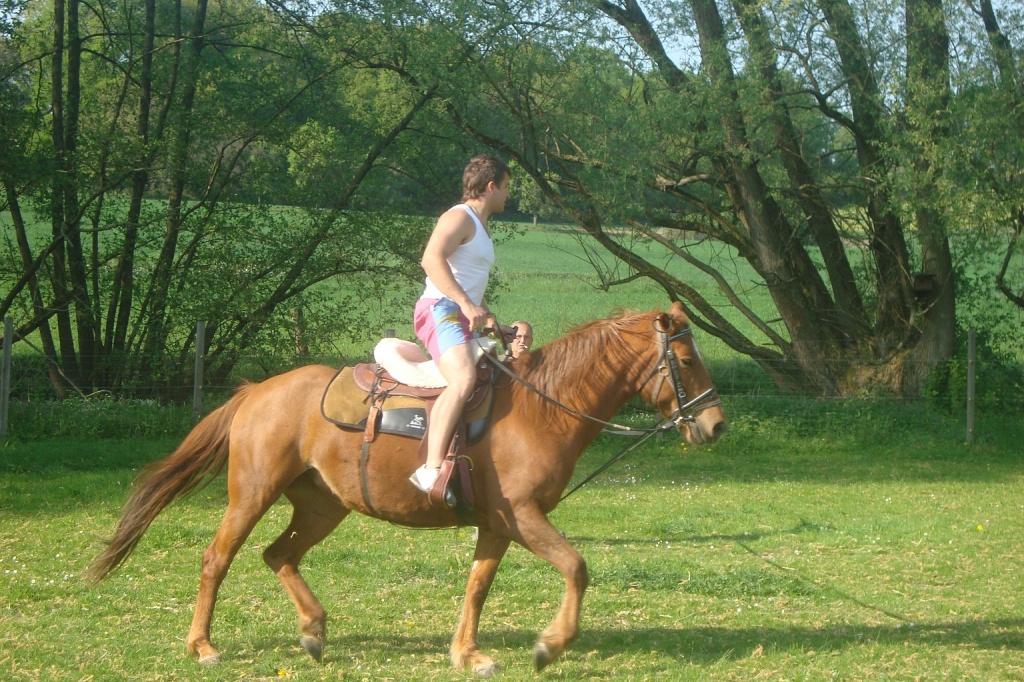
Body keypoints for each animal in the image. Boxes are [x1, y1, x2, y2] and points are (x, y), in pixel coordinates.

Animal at [88, 301, 727, 676]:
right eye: (686, 357)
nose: (716, 425)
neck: (541, 409)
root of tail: (255, 391)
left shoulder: (497, 524)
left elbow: (477, 587)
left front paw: (467, 652)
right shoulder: (523, 516)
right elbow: (576, 567)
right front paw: (550, 644)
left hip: (323, 507)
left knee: (278, 555)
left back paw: (314, 630)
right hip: (252, 495)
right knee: (217, 558)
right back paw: (203, 644)